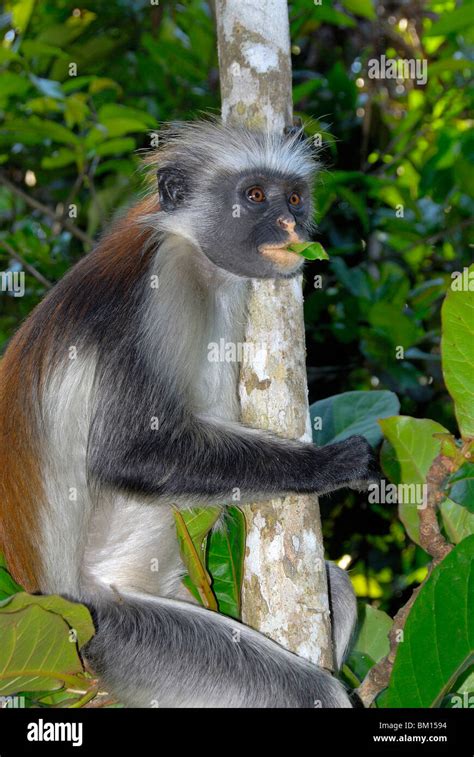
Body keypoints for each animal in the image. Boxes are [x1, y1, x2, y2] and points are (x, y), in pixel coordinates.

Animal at [0, 121, 378, 704]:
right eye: (254, 195)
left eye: (294, 197)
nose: (290, 223)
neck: (200, 259)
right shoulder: (161, 280)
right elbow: (128, 453)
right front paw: (335, 465)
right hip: (109, 632)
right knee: (308, 691)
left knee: (336, 583)